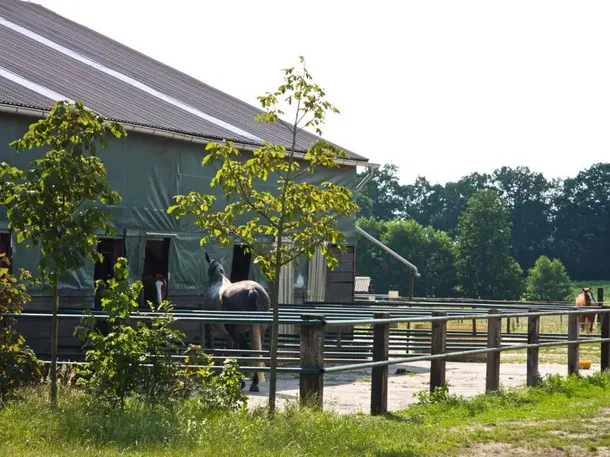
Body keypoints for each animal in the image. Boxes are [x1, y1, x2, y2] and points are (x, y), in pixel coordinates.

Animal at [201, 251, 268, 390]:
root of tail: (253, 291)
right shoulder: (228, 336)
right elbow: (229, 352)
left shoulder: (211, 329)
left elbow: (213, 350)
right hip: (259, 329)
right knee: (256, 352)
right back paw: (253, 383)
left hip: (236, 331)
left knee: (247, 352)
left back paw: (245, 382)